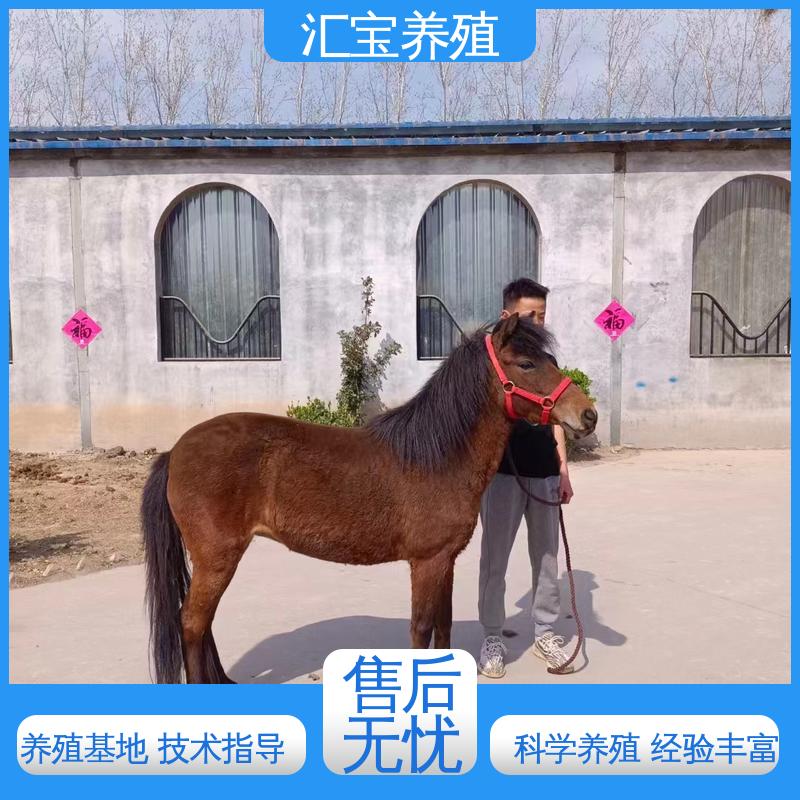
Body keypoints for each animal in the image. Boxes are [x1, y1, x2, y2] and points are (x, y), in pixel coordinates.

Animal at [141, 313, 598, 683]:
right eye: (526, 364)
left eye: (550, 360)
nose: (588, 415)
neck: (438, 454)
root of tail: (175, 451)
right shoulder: (426, 563)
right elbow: (421, 628)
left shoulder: (445, 560)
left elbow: (445, 625)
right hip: (218, 557)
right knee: (193, 622)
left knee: (201, 622)